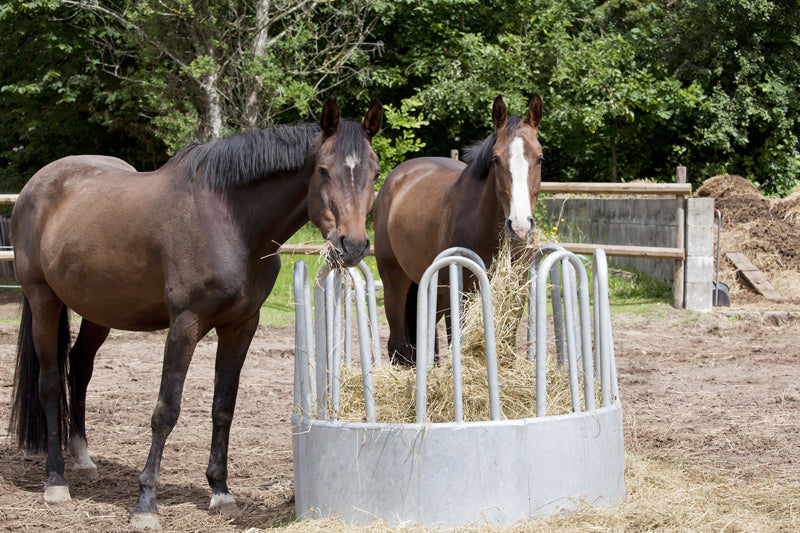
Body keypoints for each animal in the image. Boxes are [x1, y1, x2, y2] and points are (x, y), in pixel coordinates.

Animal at [8, 95, 382, 529]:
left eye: (374, 171)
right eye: (323, 170)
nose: (353, 245)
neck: (231, 221)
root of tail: (37, 186)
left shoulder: (241, 326)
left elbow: (224, 407)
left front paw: (220, 491)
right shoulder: (185, 323)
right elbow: (166, 410)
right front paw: (146, 503)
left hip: (97, 310)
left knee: (79, 366)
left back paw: (82, 459)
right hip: (43, 299)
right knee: (51, 383)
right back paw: (56, 480)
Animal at [374, 94, 542, 365]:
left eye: (540, 158)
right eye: (496, 159)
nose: (519, 227)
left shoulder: (515, 294)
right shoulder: (457, 294)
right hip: (395, 281)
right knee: (398, 344)